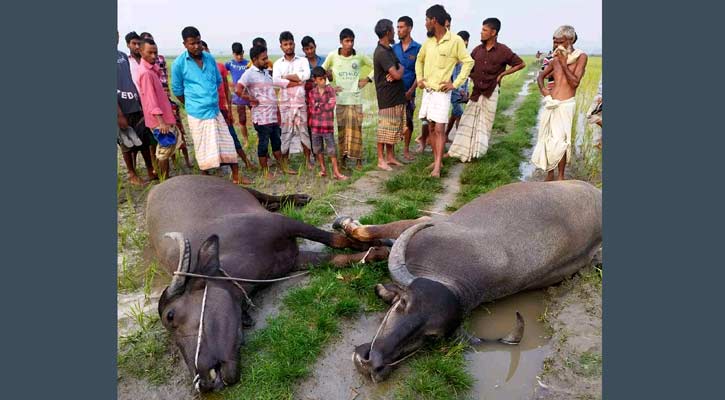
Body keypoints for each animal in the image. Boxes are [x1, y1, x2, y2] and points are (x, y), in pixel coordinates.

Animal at [143, 176, 390, 394]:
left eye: (171, 315)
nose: (202, 383)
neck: (234, 249)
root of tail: (159, 186)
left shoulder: (285, 224)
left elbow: (337, 240)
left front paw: (375, 242)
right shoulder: (295, 260)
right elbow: (338, 258)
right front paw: (378, 252)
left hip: (242, 188)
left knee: (266, 196)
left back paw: (300, 198)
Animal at [332, 180, 600, 382]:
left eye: (431, 336)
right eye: (403, 304)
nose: (373, 363)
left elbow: (366, 245)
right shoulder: (420, 223)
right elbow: (367, 235)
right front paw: (343, 228)